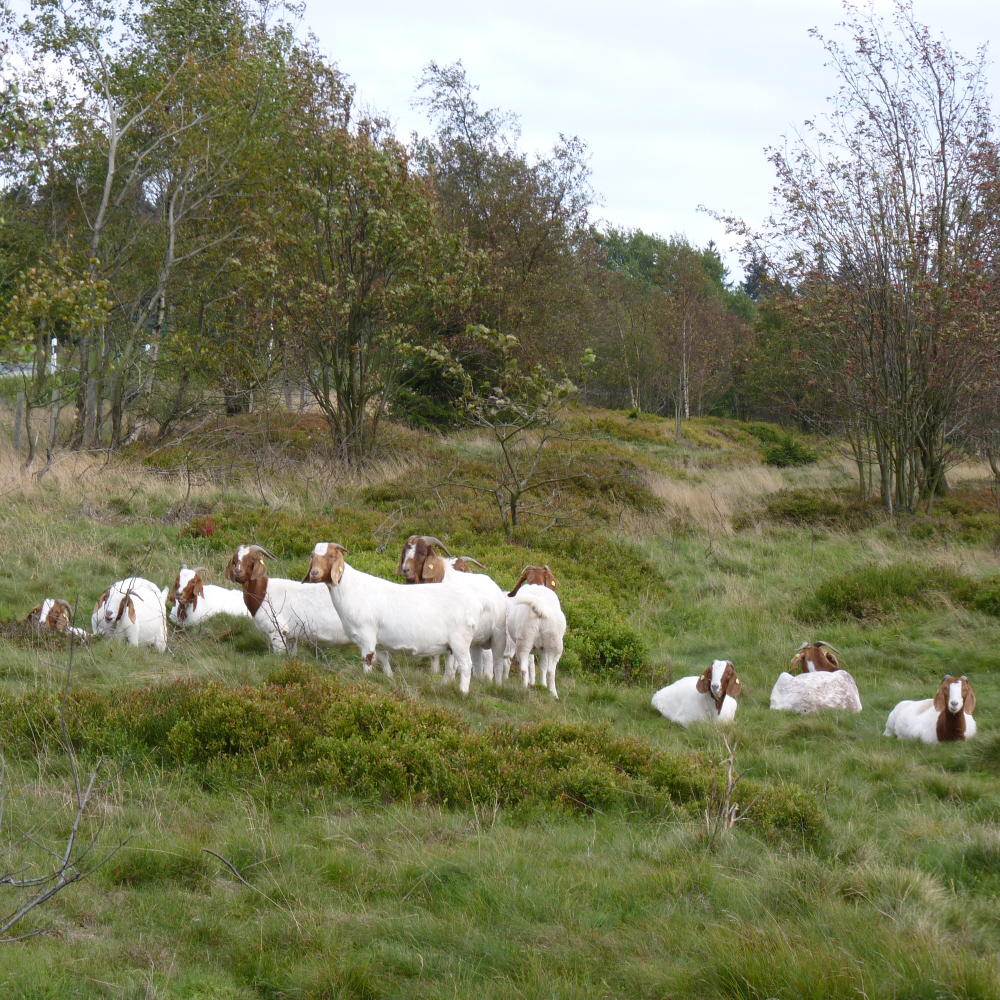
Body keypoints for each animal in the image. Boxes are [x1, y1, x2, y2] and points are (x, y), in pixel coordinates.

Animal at [223, 548, 352, 656]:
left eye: (252, 559)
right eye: (234, 560)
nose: (238, 572)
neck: (264, 593)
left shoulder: (277, 632)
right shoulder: (291, 636)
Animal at [304, 540, 484, 696]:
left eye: (331, 556)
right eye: (312, 556)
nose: (314, 573)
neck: (351, 588)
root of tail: (473, 605)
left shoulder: (367, 636)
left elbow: (367, 660)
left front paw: (367, 681)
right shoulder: (379, 642)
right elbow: (384, 661)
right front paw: (389, 678)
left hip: (460, 641)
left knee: (466, 665)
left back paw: (463, 693)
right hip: (450, 645)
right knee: (450, 666)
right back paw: (444, 686)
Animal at [394, 536, 508, 684]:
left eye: (422, 553)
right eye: (405, 550)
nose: (406, 570)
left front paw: (449, 679)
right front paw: (436, 673)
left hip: (495, 632)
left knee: (491, 655)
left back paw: (490, 679)